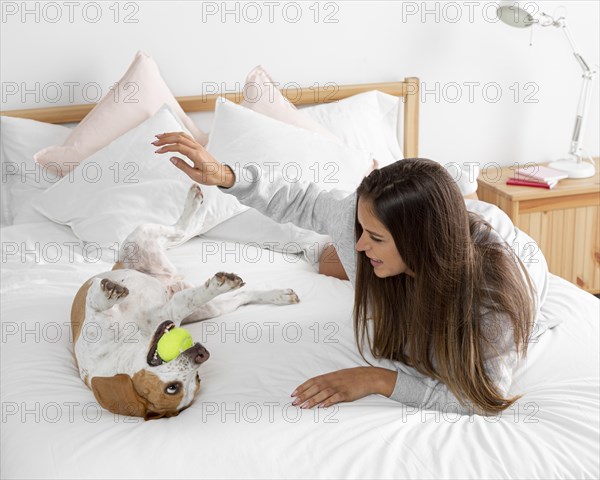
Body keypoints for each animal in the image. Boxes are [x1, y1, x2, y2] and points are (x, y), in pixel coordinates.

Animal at [71, 184, 300, 420]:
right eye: (173, 388)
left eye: (196, 378)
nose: (203, 354)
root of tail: (169, 280)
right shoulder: (167, 311)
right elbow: (194, 296)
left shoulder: (163, 313)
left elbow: (191, 297)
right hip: (212, 307)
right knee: (238, 294)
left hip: (141, 236)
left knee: (179, 229)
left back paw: (195, 202)